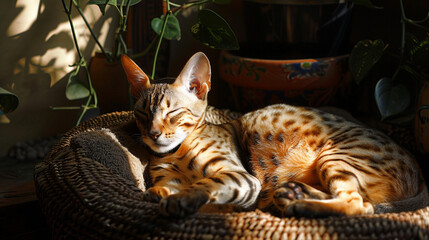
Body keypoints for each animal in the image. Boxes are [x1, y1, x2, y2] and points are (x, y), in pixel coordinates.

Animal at [120, 52, 428, 218]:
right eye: (142, 114)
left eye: (173, 113)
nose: (153, 134)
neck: (177, 153)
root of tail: (419, 171)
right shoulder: (169, 178)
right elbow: (163, 188)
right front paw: (158, 194)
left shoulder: (241, 177)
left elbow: (203, 185)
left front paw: (182, 199)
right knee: (359, 202)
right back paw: (295, 193)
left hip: (336, 157)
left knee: (360, 205)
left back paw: (301, 205)